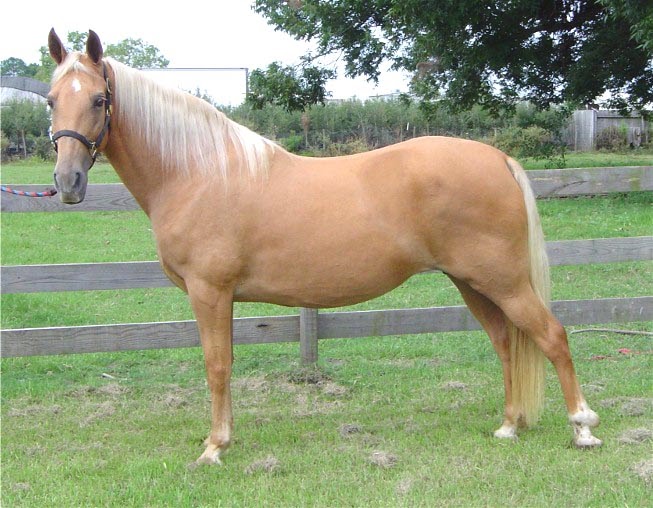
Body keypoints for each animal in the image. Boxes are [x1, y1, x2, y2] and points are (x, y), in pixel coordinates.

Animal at [46, 29, 601, 465]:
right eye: (51, 100)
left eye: (98, 99)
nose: (68, 182)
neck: (199, 172)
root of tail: (498, 158)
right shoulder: (221, 297)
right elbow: (225, 363)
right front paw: (225, 438)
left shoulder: (210, 291)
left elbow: (216, 365)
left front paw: (213, 447)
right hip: (472, 283)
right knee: (506, 343)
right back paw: (509, 425)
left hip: (502, 280)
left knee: (552, 337)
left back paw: (583, 427)